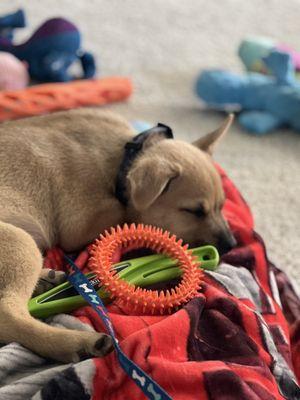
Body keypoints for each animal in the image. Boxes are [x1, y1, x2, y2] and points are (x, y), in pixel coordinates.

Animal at [0, 108, 236, 362]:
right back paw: (78, 342)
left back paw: (47, 279)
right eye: (194, 211)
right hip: (21, 243)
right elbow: (128, 214)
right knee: (9, 316)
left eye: (222, 205)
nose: (232, 244)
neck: (125, 158)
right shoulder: (80, 225)